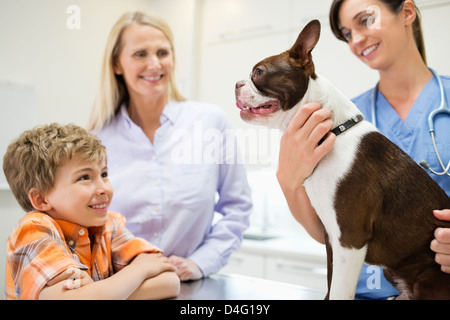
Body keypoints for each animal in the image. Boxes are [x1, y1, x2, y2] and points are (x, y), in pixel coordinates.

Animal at [234, 20, 450, 300]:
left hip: (427, 273)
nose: (236, 84)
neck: (334, 132)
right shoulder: (330, 237)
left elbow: (340, 290)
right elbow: (330, 281)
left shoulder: (349, 239)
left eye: (258, 72)